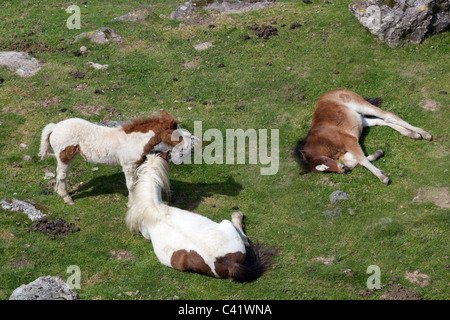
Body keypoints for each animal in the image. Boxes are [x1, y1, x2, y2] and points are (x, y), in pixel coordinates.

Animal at [40, 110, 197, 205]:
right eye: (176, 134)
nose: (187, 146)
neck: (136, 139)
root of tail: (55, 127)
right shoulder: (128, 165)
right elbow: (131, 184)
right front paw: (131, 203)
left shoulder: (137, 164)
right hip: (65, 156)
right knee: (62, 175)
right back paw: (67, 198)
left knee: (60, 174)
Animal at [292, 89, 432, 185]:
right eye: (324, 171)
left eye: (325, 161)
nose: (343, 170)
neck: (323, 140)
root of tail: (334, 90)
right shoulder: (343, 152)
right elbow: (354, 161)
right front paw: (378, 154)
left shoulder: (349, 141)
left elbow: (361, 159)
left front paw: (383, 177)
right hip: (360, 119)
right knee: (382, 121)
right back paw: (411, 134)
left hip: (362, 106)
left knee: (388, 115)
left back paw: (424, 134)